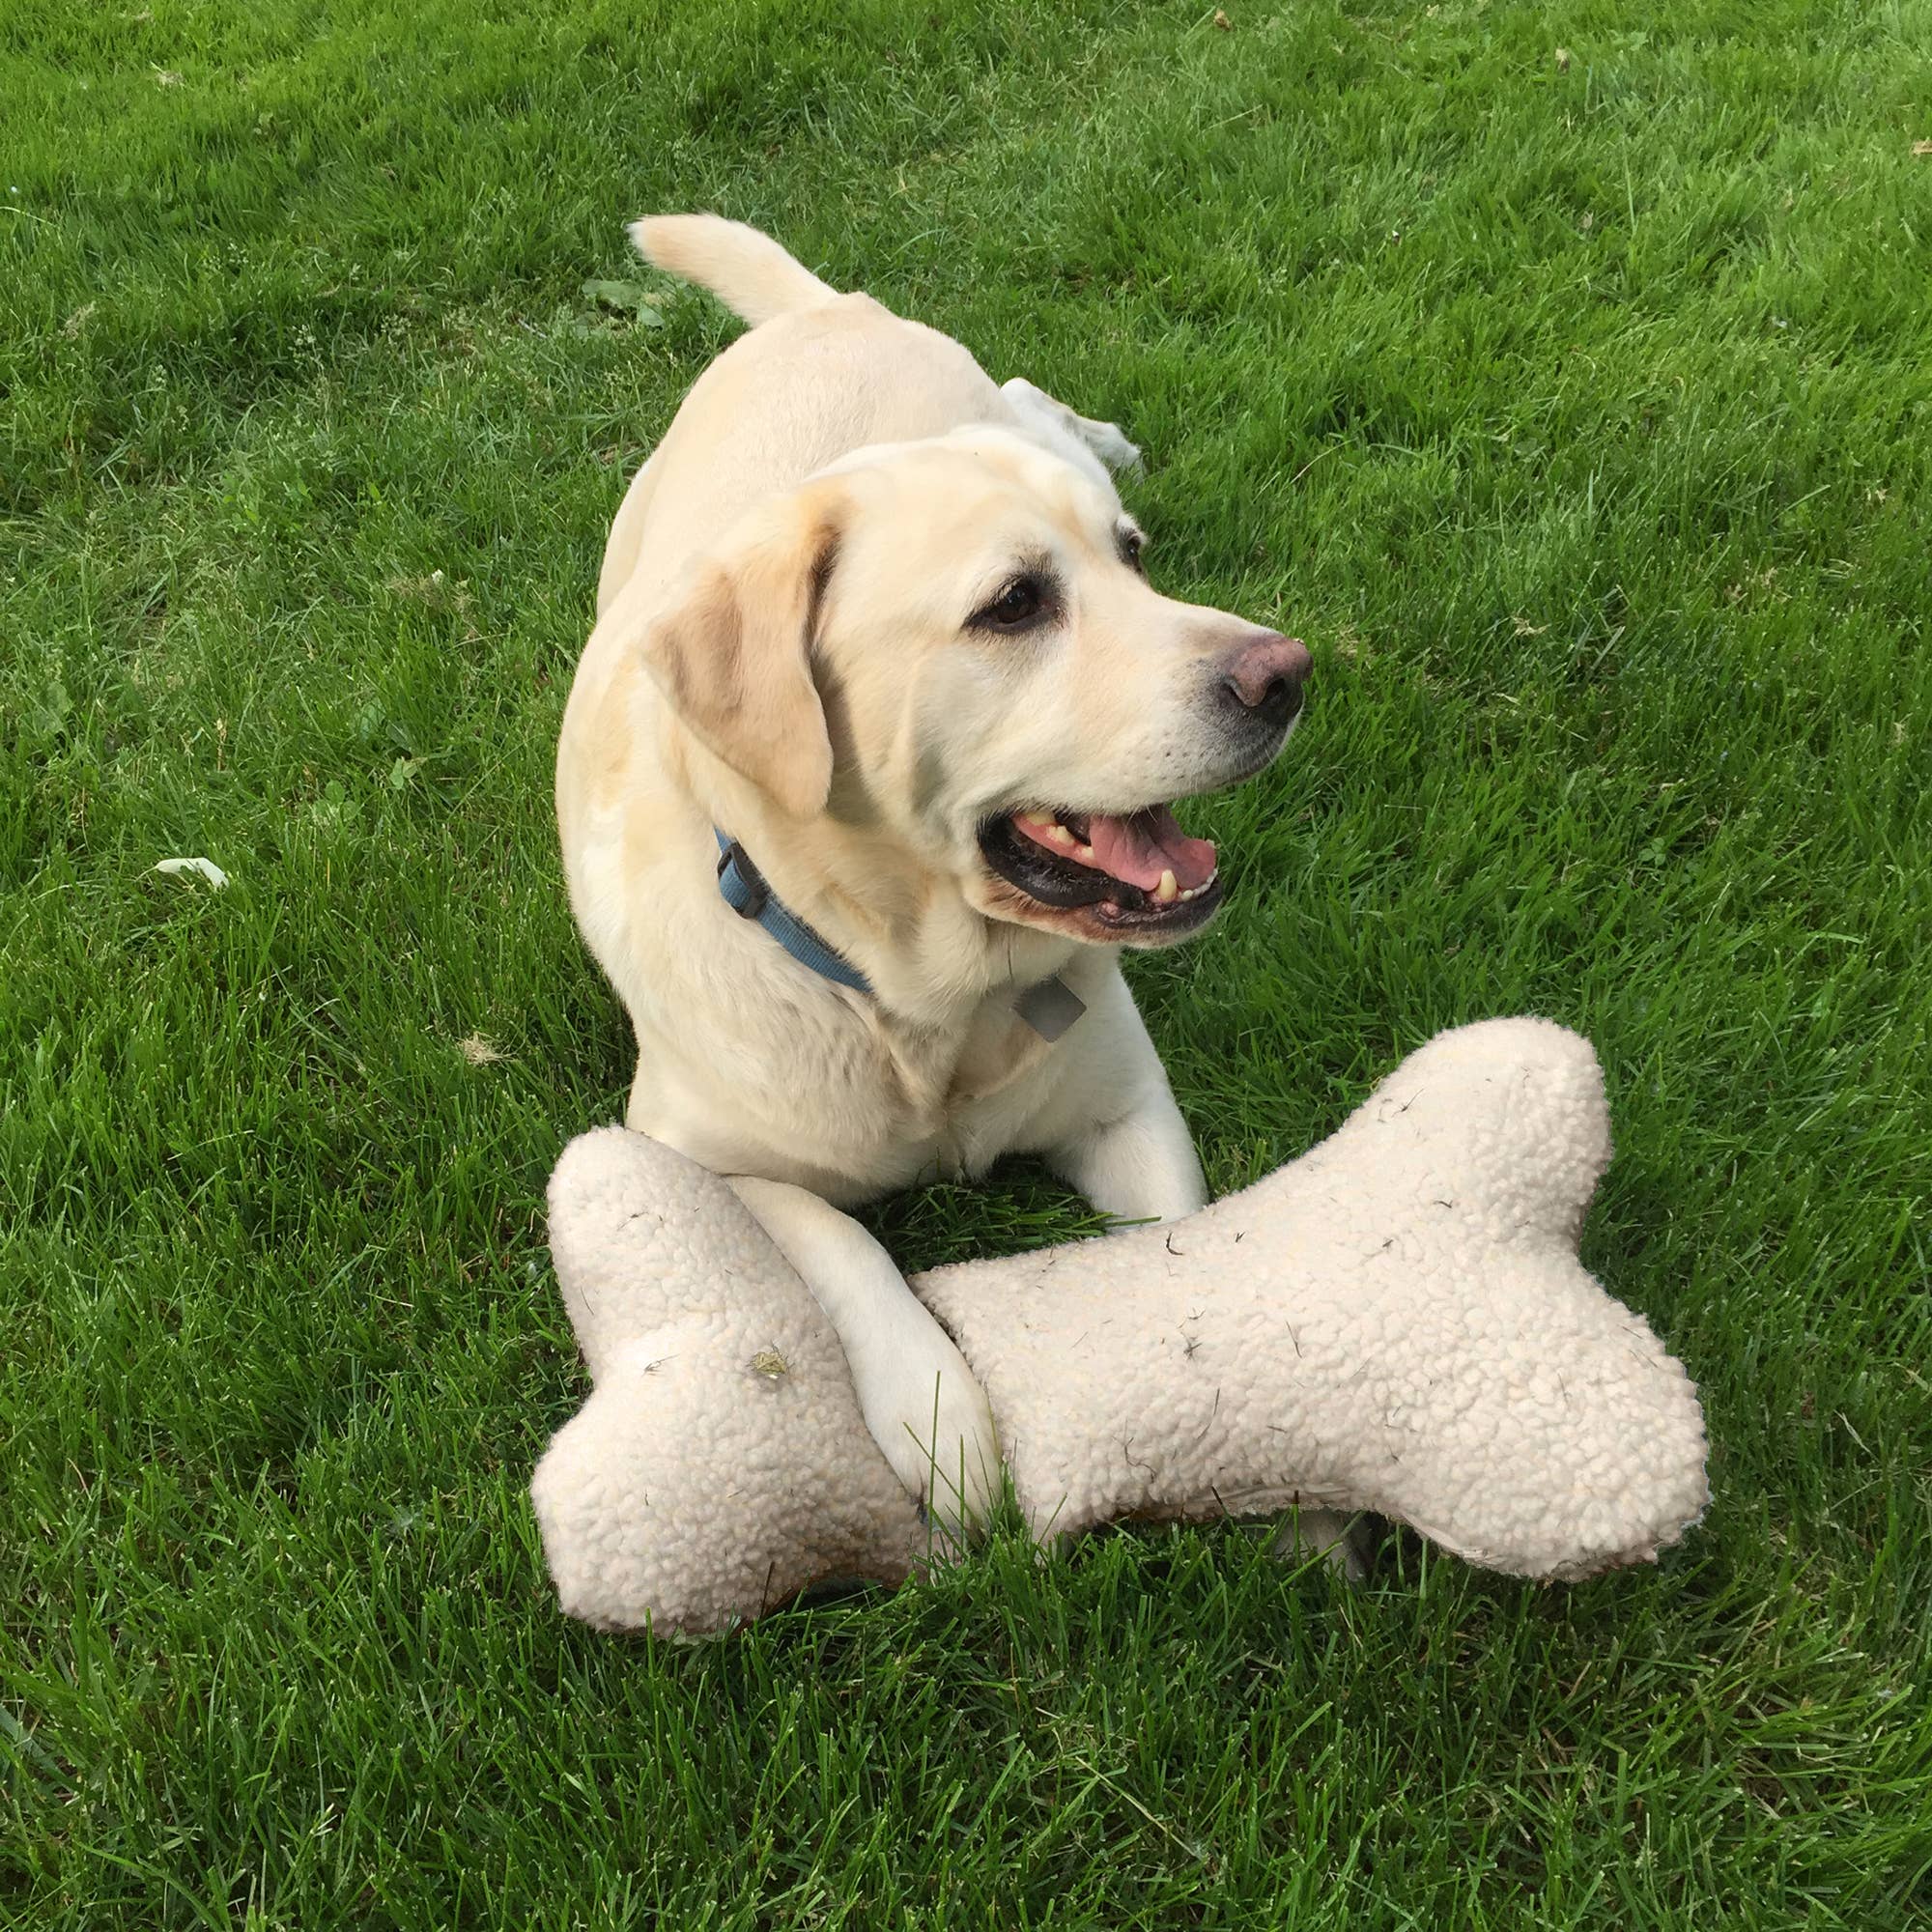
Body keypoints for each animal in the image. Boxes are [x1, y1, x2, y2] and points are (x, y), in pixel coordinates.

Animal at [560, 219, 1314, 1530]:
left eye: (1133, 561)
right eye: (1012, 604)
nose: (1286, 675)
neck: (919, 1004)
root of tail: (823, 313)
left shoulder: (1127, 1103)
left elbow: (1176, 1252)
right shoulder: (693, 1152)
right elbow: (841, 1246)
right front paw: (941, 1417)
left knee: (1026, 395)